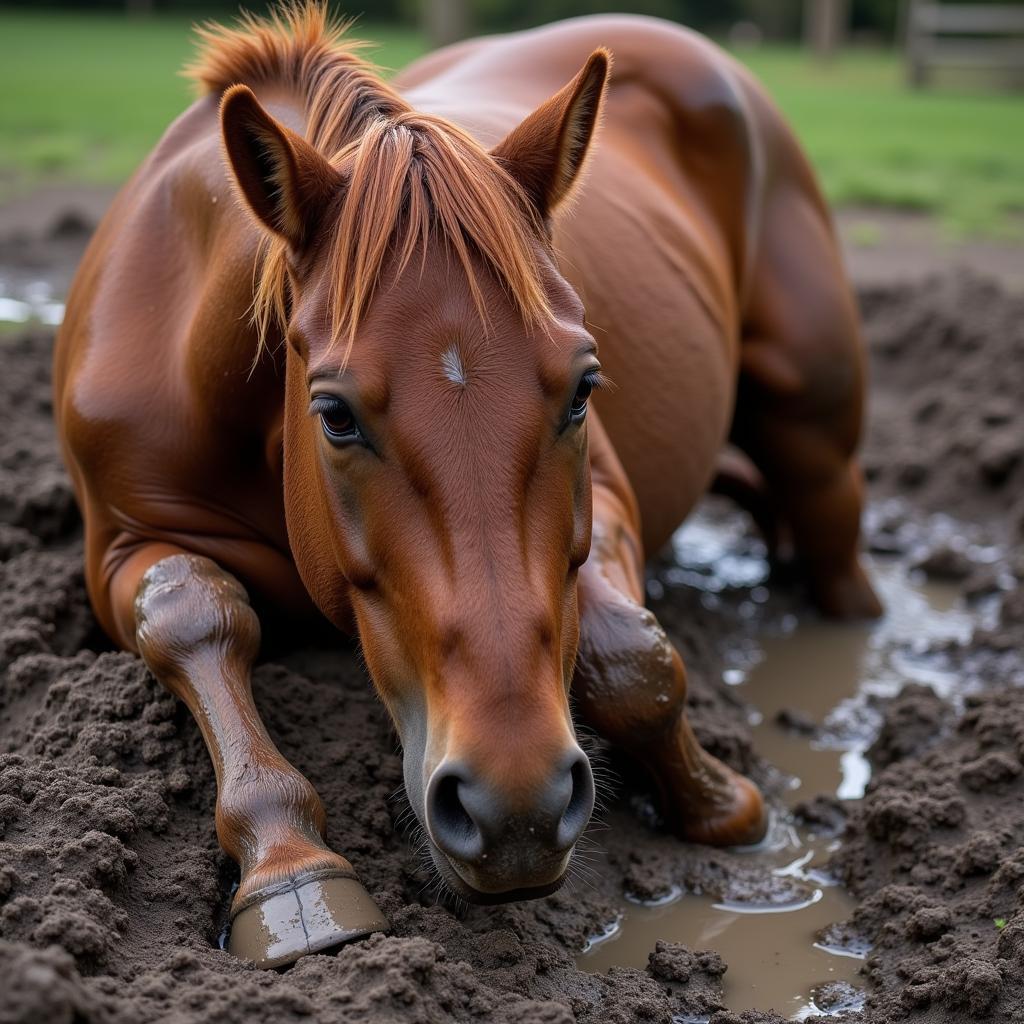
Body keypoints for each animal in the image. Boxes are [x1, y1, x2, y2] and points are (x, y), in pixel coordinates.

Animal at [51, 6, 880, 966]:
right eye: (333, 415)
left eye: (584, 388)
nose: (516, 808)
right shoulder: (120, 543)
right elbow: (194, 614)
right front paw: (290, 868)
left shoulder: (605, 500)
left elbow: (629, 657)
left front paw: (723, 804)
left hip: (818, 454)